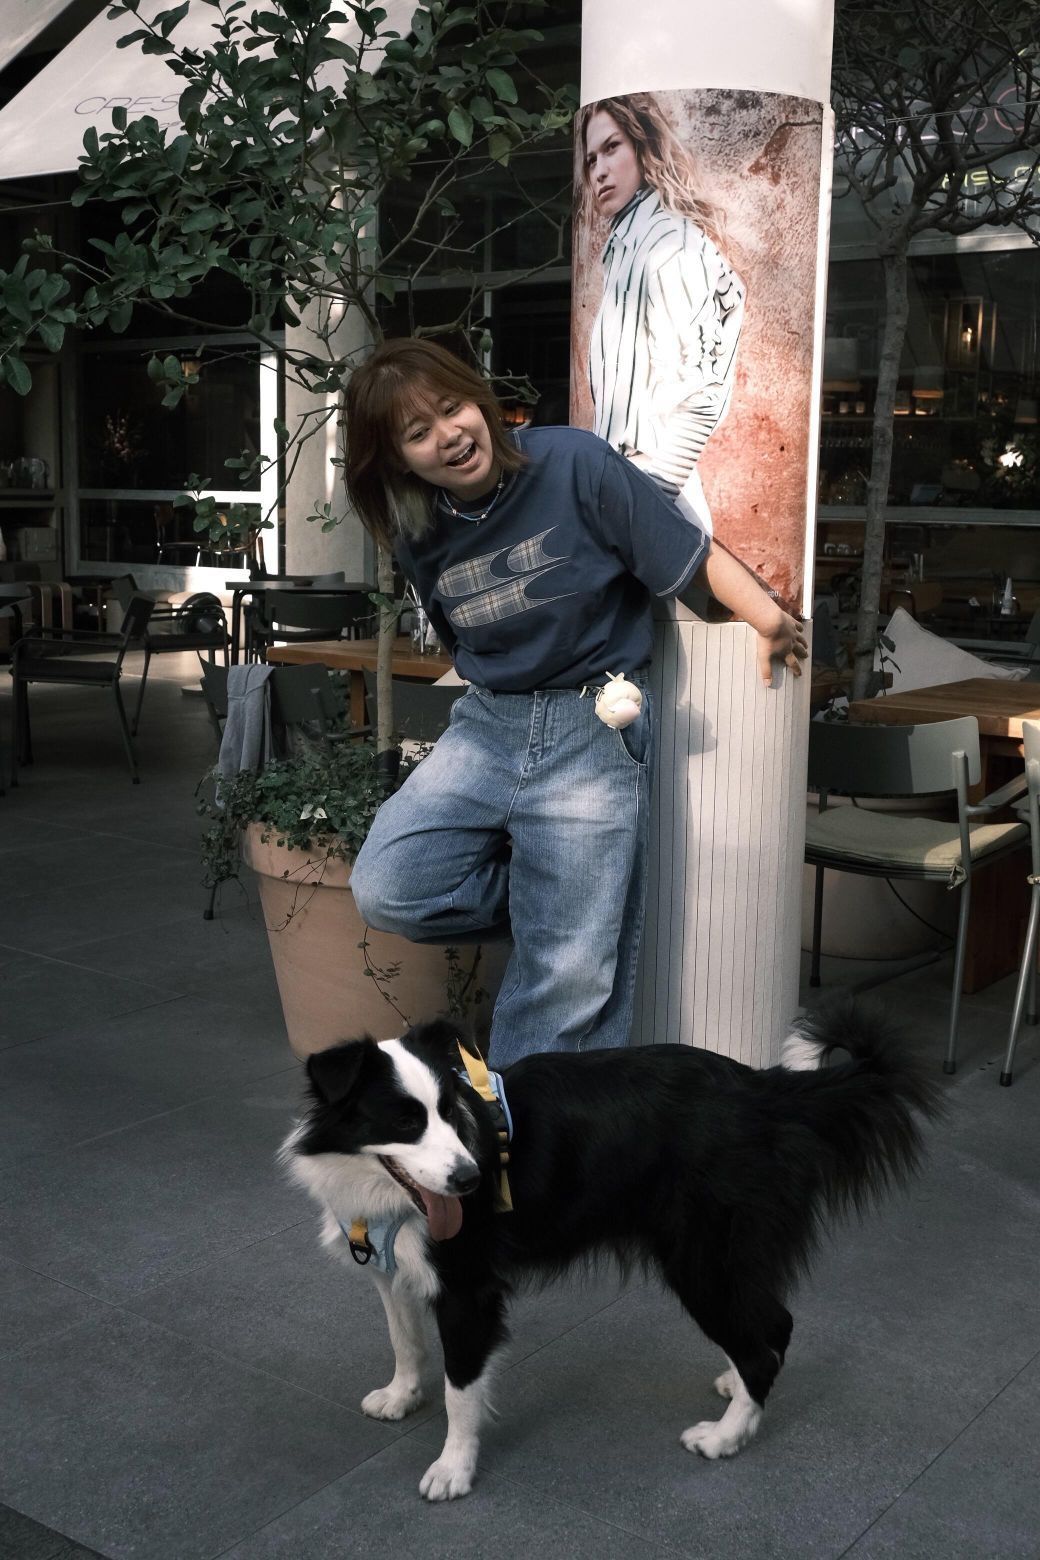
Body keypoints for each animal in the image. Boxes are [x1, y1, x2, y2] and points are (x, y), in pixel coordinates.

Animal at [281, 1004, 941, 1501]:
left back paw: (725, 1437)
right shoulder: (393, 1271)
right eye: (404, 1120)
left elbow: (461, 1388)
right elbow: (405, 1340)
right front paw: (400, 1396)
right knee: (767, 1325)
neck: (383, 1191)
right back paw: (734, 1387)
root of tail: (766, 1091)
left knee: (768, 1334)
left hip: (701, 1257)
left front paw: (453, 1469)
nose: (470, 1180)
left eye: (449, 1112)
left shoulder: (469, 1289)